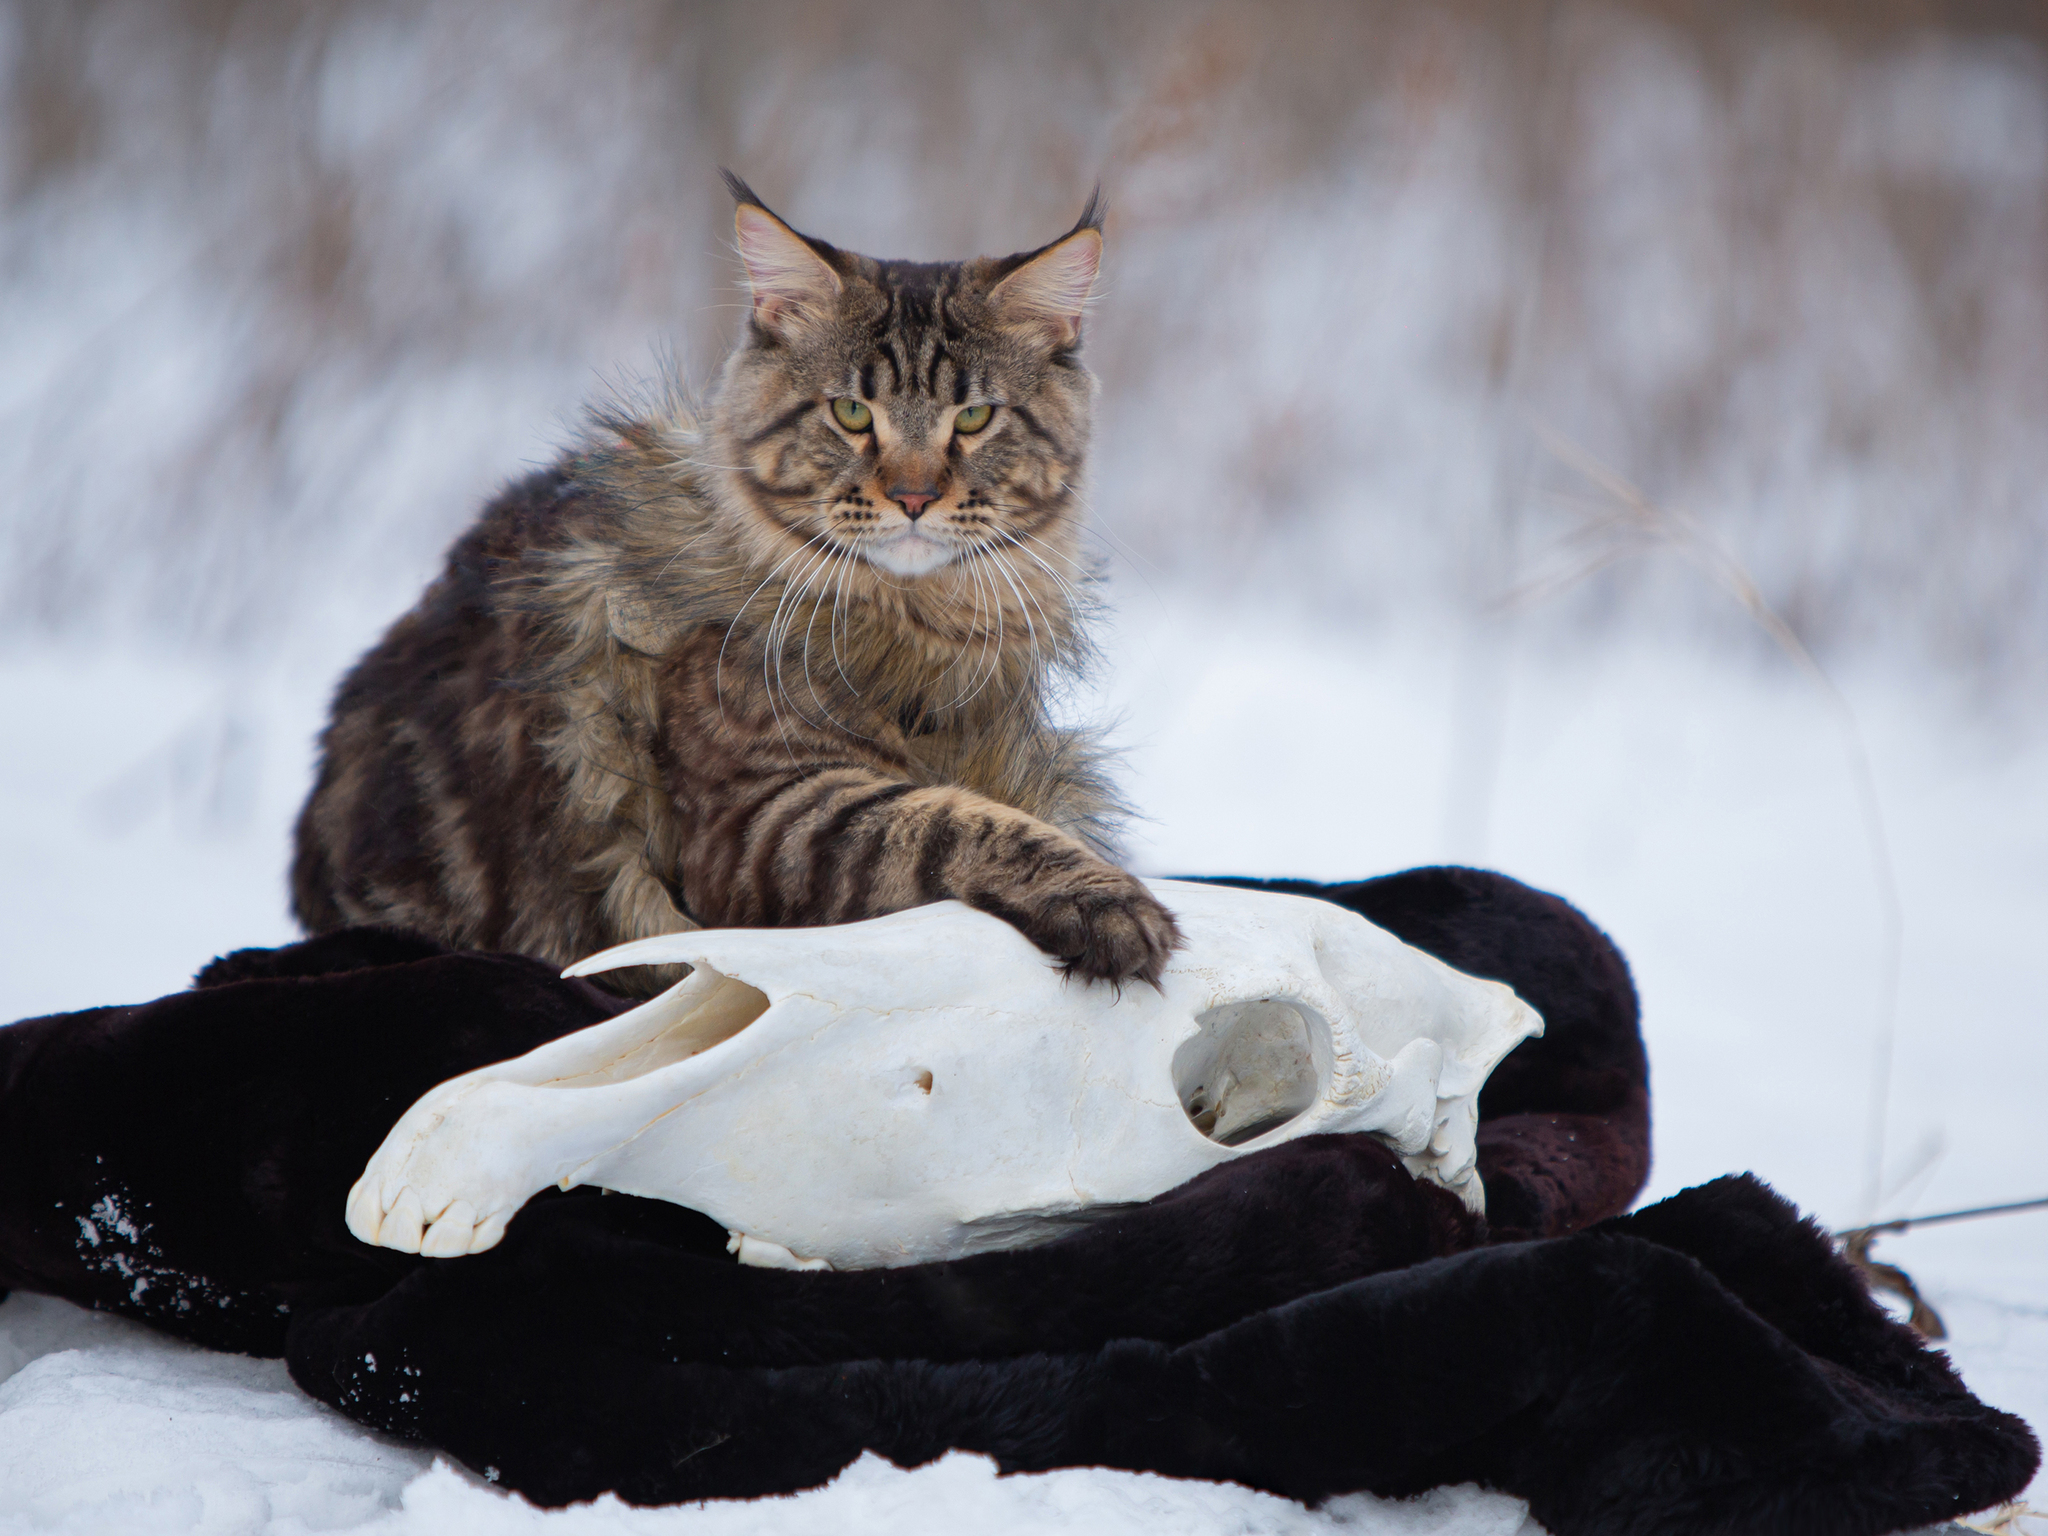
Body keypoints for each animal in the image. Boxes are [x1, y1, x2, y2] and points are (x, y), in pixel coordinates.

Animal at [294, 180, 1179, 999]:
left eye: (973, 420)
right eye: (851, 413)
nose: (914, 497)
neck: (919, 625)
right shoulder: (772, 815)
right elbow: (953, 822)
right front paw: (1109, 904)